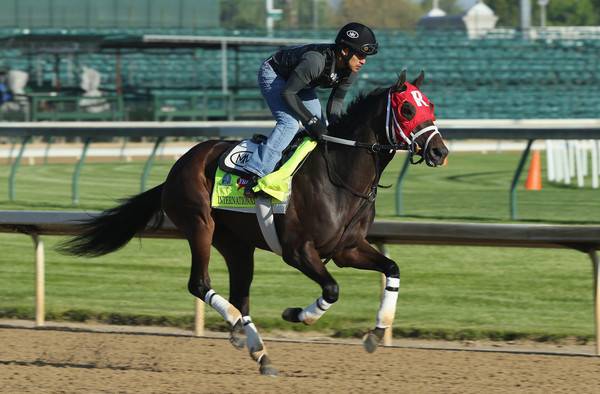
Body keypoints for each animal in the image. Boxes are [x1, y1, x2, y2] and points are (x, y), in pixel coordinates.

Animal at [63, 70, 448, 376]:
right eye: (407, 109)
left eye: (429, 106)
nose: (440, 151)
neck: (339, 173)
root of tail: (177, 166)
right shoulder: (298, 250)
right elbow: (332, 290)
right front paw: (297, 314)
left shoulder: (347, 249)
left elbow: (392, 268)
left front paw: (377, 331)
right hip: (199, 225)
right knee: (200, 284)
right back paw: (240, 329)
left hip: (237, 245)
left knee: (240, 295)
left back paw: (257, 349)